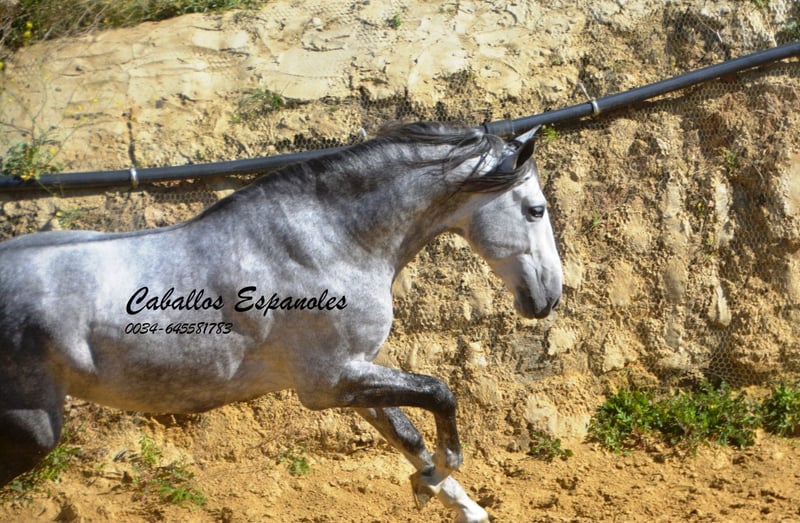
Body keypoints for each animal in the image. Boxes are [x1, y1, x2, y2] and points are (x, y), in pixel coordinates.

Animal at [0, 121, 562, 522]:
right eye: (536, 209)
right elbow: (440, 394)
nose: (549, 297)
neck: (328, 242)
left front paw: (453, 500)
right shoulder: (328, 382)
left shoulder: (354, 374)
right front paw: (433, 480)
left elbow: (408, 434)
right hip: (33, 429)